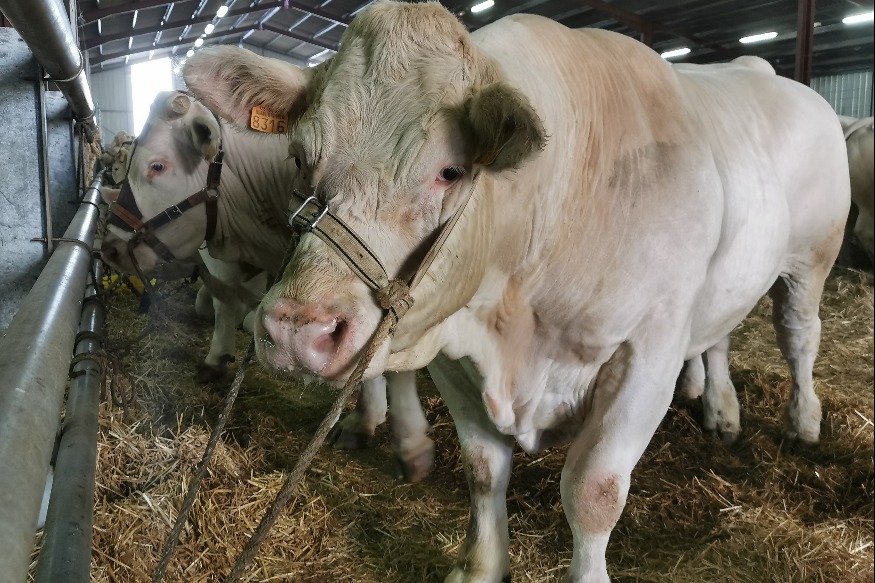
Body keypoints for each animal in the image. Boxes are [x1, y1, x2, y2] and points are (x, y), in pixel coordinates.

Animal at [183, 2, 850, 581]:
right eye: (299, 158)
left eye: (450, 170)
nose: (299, 329)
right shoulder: (452, 343)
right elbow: (483, 470)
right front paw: (481, 566)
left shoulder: (648, 350)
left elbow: (593, 490)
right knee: (717, 337)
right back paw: (721, 411)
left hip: (811, 259)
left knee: (798, 336)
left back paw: (802, 422)